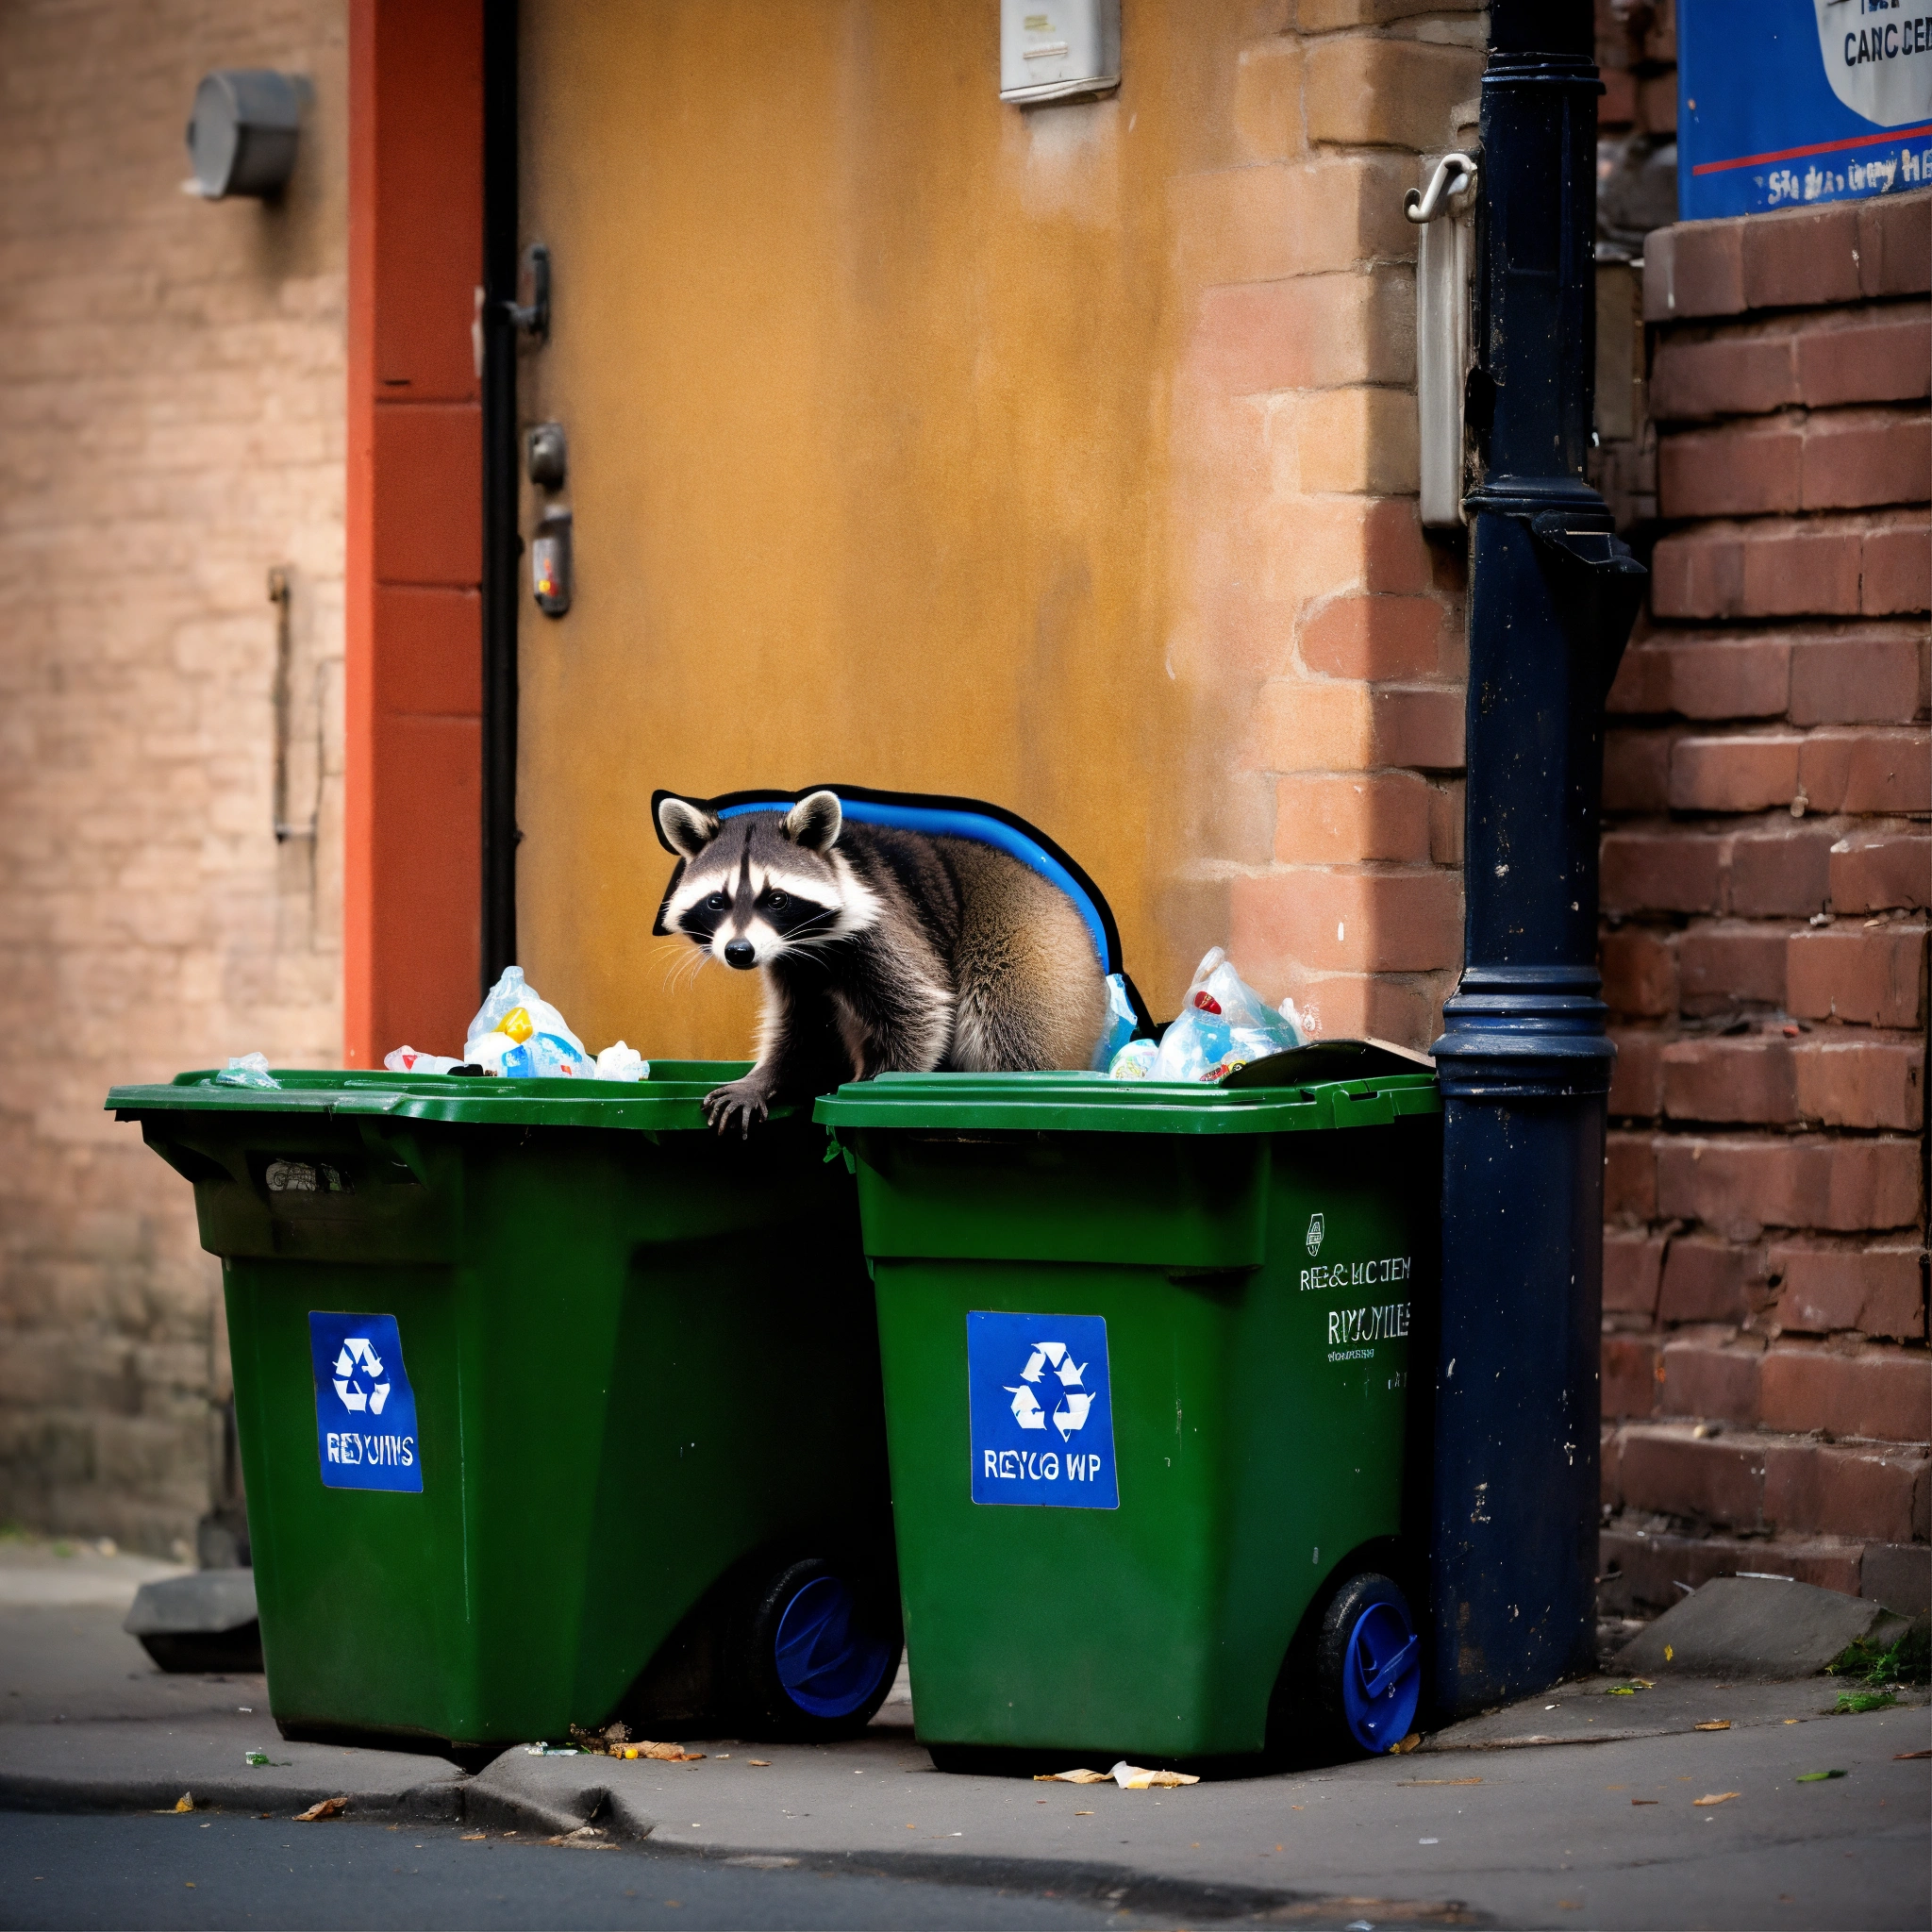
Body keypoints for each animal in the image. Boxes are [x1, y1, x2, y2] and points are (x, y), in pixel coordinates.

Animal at [656, 790, 1108, 1133]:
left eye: (777, 899)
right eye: (717, 901)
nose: (739, 952)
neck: (808, 944)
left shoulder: (883, 924)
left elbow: (920, 1011)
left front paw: (878, 1082)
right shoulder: (792, 965)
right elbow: (803, 1029)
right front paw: (762, 1079)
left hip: (1031, 945)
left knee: (1009, 1025)